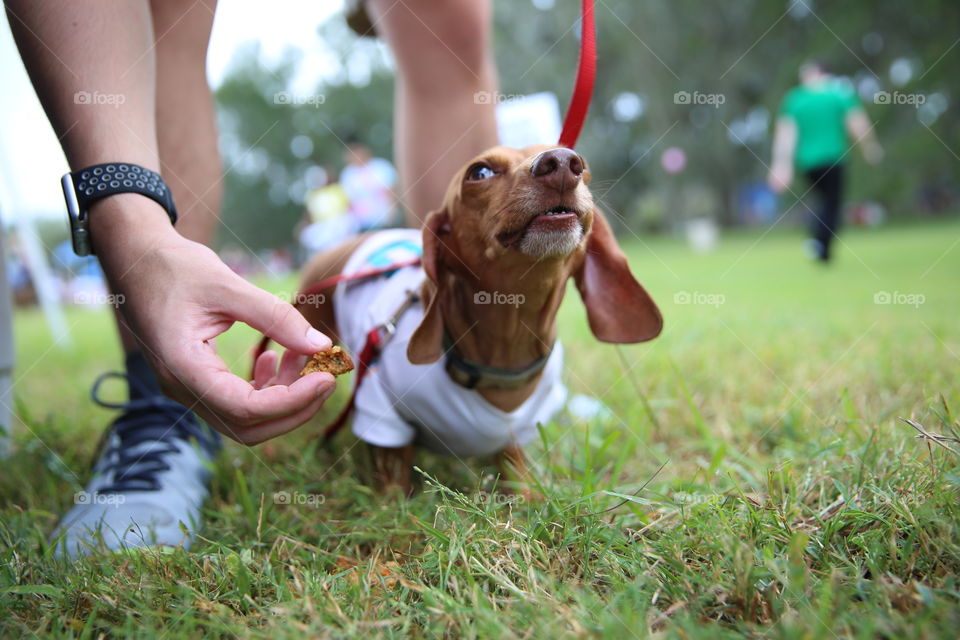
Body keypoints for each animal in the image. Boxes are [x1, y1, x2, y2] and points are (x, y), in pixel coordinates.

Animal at [300, 145, 660, 496]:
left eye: (583, 167)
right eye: (480, 172)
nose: (561, 162)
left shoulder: (521, 430)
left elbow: (515, 466)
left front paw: (527, 494)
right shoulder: (381, 412)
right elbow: (394, 481)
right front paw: (392, 504)